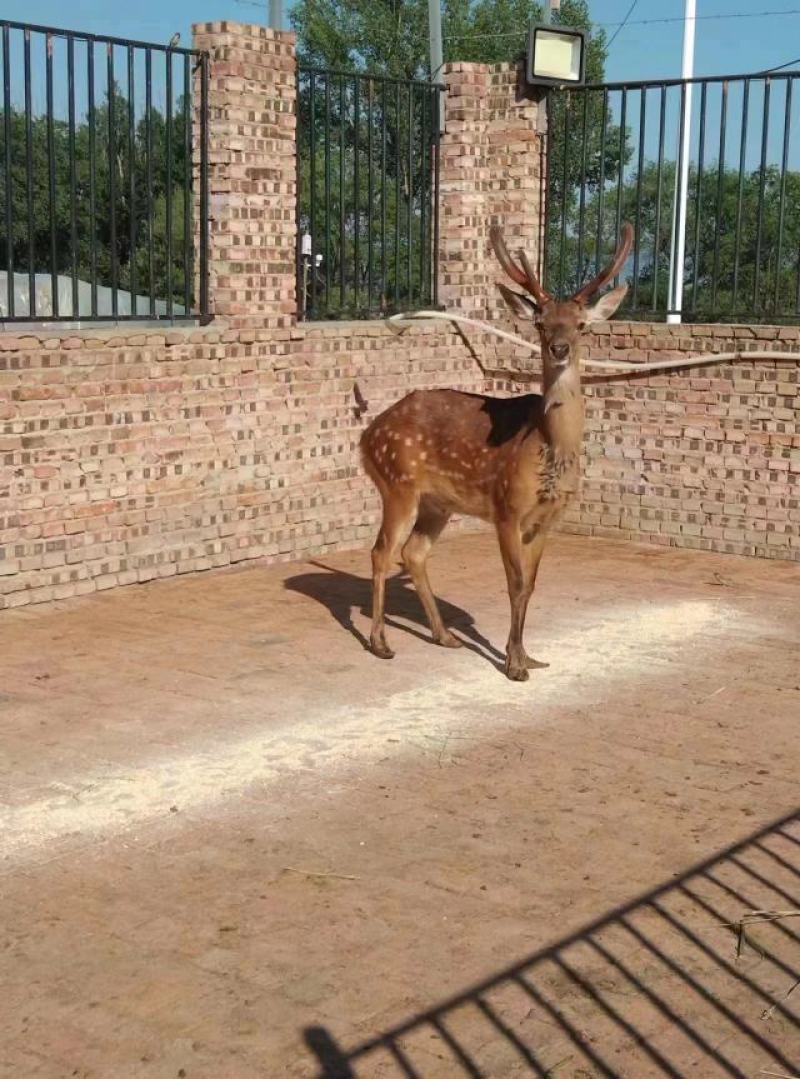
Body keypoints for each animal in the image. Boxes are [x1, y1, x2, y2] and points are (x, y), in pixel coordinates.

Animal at [360, 222, 633, 681]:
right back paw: (380, 643)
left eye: (581, 325)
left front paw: (529, 657)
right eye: (541, 323)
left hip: (437, 502)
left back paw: (444, 635)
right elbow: (515, 583)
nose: (559, 349)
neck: (547, 446)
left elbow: (532, 585)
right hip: (397, 483)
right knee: (382, 552)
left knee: (414, 553)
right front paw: (513, 664)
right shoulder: (507, 507)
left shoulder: (548, 518)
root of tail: (365, 436)